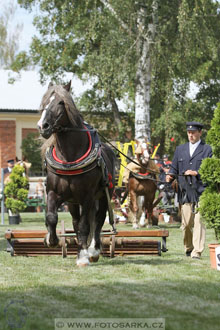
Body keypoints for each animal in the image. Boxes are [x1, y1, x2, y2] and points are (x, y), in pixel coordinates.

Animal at [37, 81, 117, 266]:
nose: (43, 126)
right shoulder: (53, 192)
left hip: (103, 195)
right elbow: (52, 217)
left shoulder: (87, 197)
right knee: (76, 221)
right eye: (44, 101)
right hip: (73, 202)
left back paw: (93, 250)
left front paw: (83, 257)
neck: (69, 157)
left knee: (98, 220)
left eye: (61, 102)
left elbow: (85, 225)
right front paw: (51, 240)